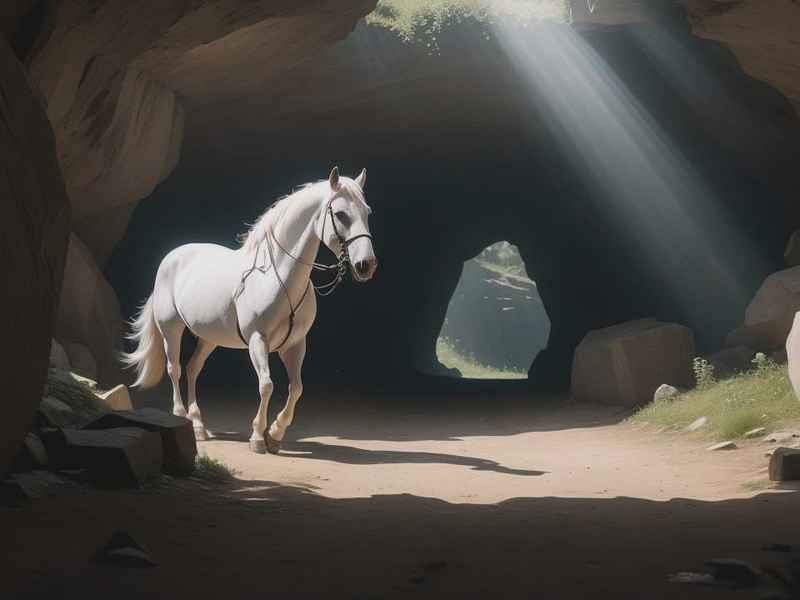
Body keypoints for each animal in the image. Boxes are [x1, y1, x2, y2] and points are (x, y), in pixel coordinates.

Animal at [120, 167, 377, 454]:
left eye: (367, 212)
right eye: (341, 214)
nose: (366, 265)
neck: (277, 277)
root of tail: (170, 258)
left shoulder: (295, 344)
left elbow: (296, 388)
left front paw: (275, 434)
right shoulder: (257, 340)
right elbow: (266, 385)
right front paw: (258, 436)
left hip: (209, 338)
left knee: (192, 368)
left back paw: (199, 425)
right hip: (171, 330)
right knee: (174, 369)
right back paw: (182, 418)